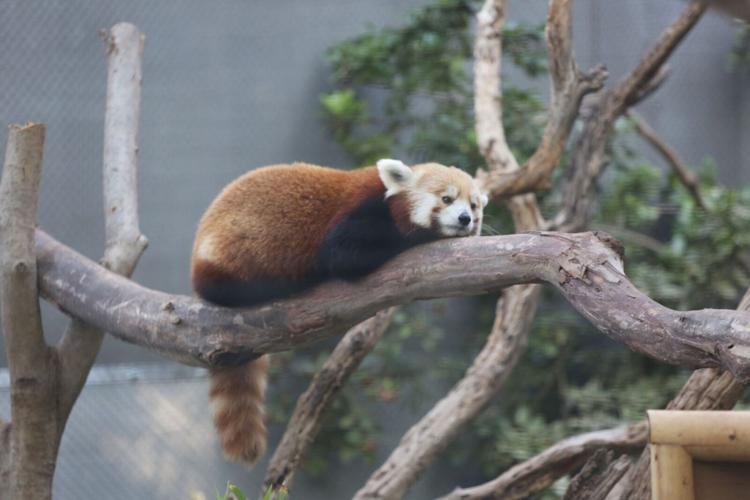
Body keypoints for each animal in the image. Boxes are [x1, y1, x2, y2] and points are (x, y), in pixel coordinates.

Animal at [191, 159, 488, 465]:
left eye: (474, 205)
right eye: (447, 199)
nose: (465, 218)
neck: (388, 200)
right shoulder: (360, 213)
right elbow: (344, 253)